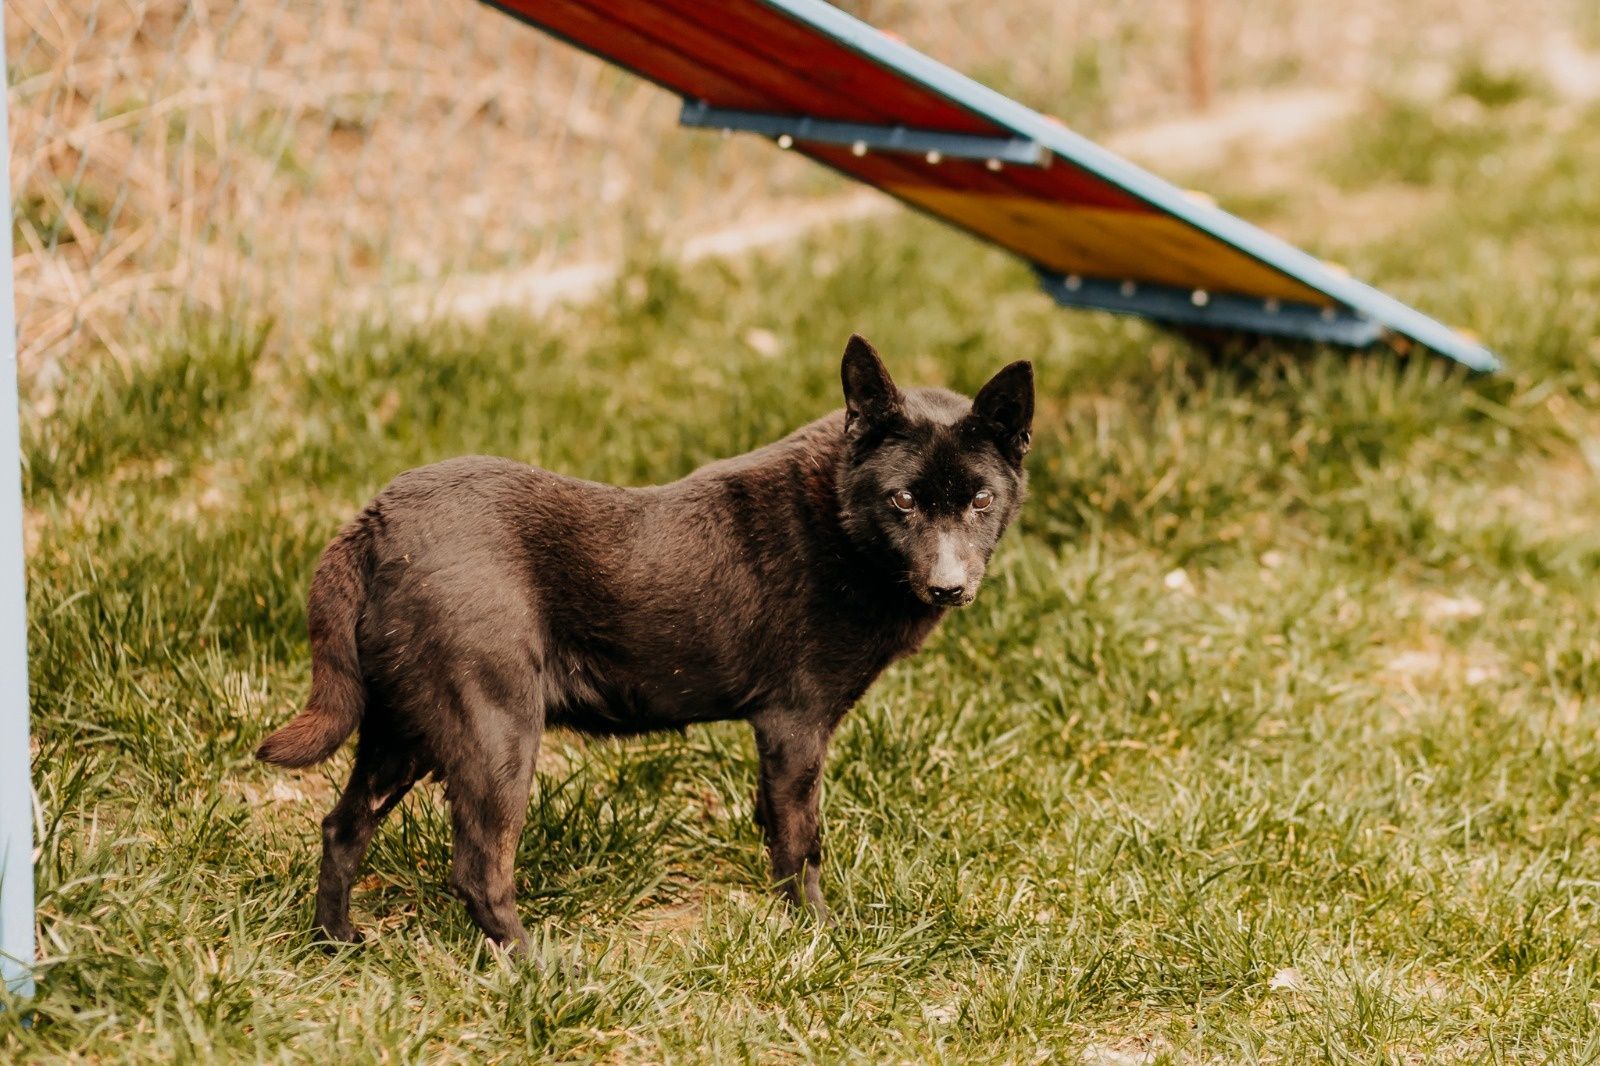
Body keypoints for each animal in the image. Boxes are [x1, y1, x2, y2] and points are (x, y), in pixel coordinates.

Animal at [259, 334, 1036, 947]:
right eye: (902, 500)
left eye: (980, 500)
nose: (949, 586)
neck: (842, 525)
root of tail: (375, 520)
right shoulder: (796, 728)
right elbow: (802, 844)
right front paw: (820, 937)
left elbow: (773, 828)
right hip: (495, 736)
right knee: (478, 872)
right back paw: (543, 972)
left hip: (401, 732)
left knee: (342, 828)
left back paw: (336, 942)